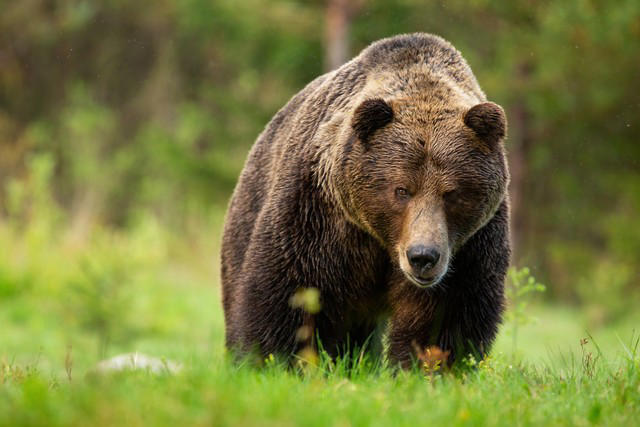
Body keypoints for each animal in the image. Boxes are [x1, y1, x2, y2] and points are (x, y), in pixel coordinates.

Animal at [221, 33, 510, 368]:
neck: (383, 241)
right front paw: (269, 359)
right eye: (401, 190)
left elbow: (444, 318)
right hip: (248, 210)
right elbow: (287, 291)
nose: (423, 256)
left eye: (452, 193)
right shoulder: (318, 215)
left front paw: (425, 368)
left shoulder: (469, 247)